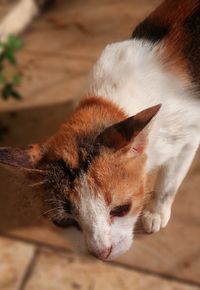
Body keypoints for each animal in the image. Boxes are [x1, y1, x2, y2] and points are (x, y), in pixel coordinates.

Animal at [0, 0, 200, 260]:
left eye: (122, 209)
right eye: (64, 222)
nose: (101, 252)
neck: (110, 100)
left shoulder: (189, 133)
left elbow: (169, 182)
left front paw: (155, 213)